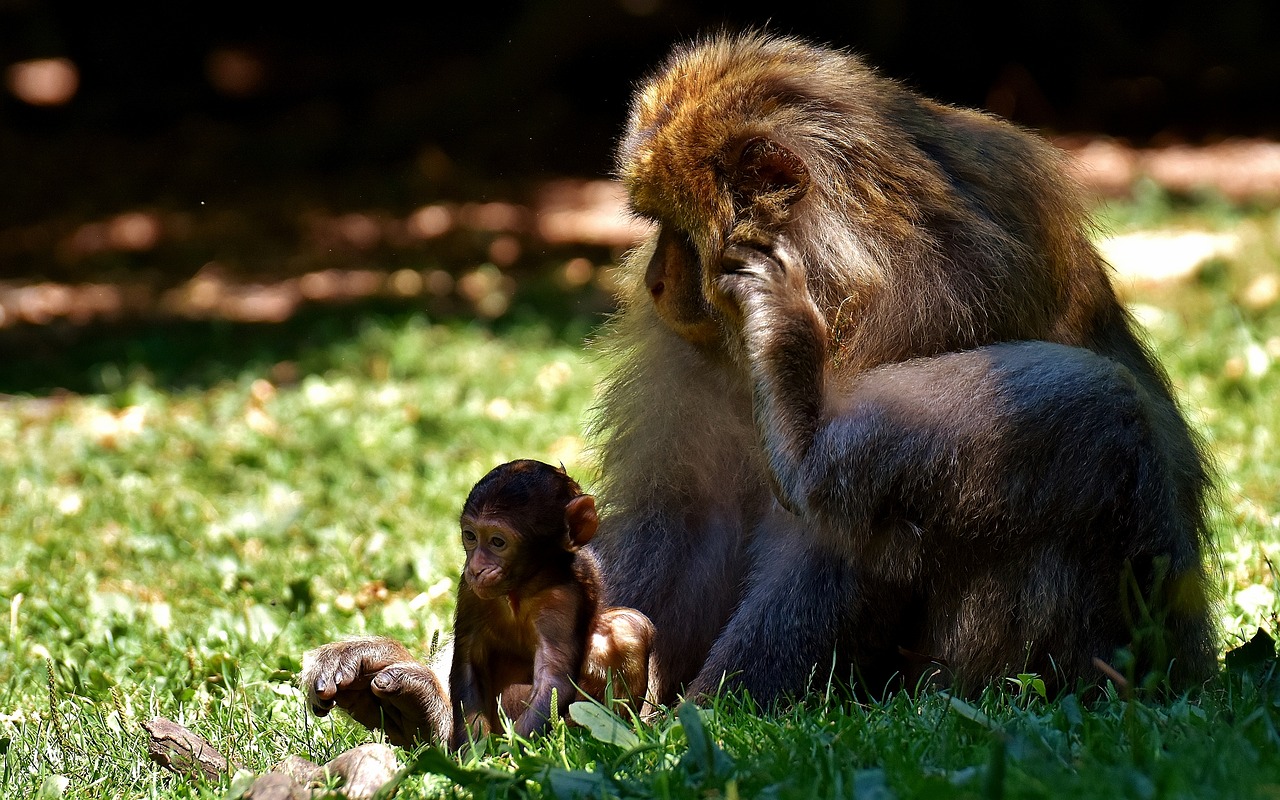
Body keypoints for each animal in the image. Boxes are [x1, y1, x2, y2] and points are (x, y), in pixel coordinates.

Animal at [448, 458, 650, 747]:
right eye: (471, 536)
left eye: (497, 542)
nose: (476, 568)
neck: (520, 590)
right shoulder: (470, 592)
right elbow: (468, 665)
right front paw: (473, 751)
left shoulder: (562, 600)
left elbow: (553, 678)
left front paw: (510, 754)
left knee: (625, 626)